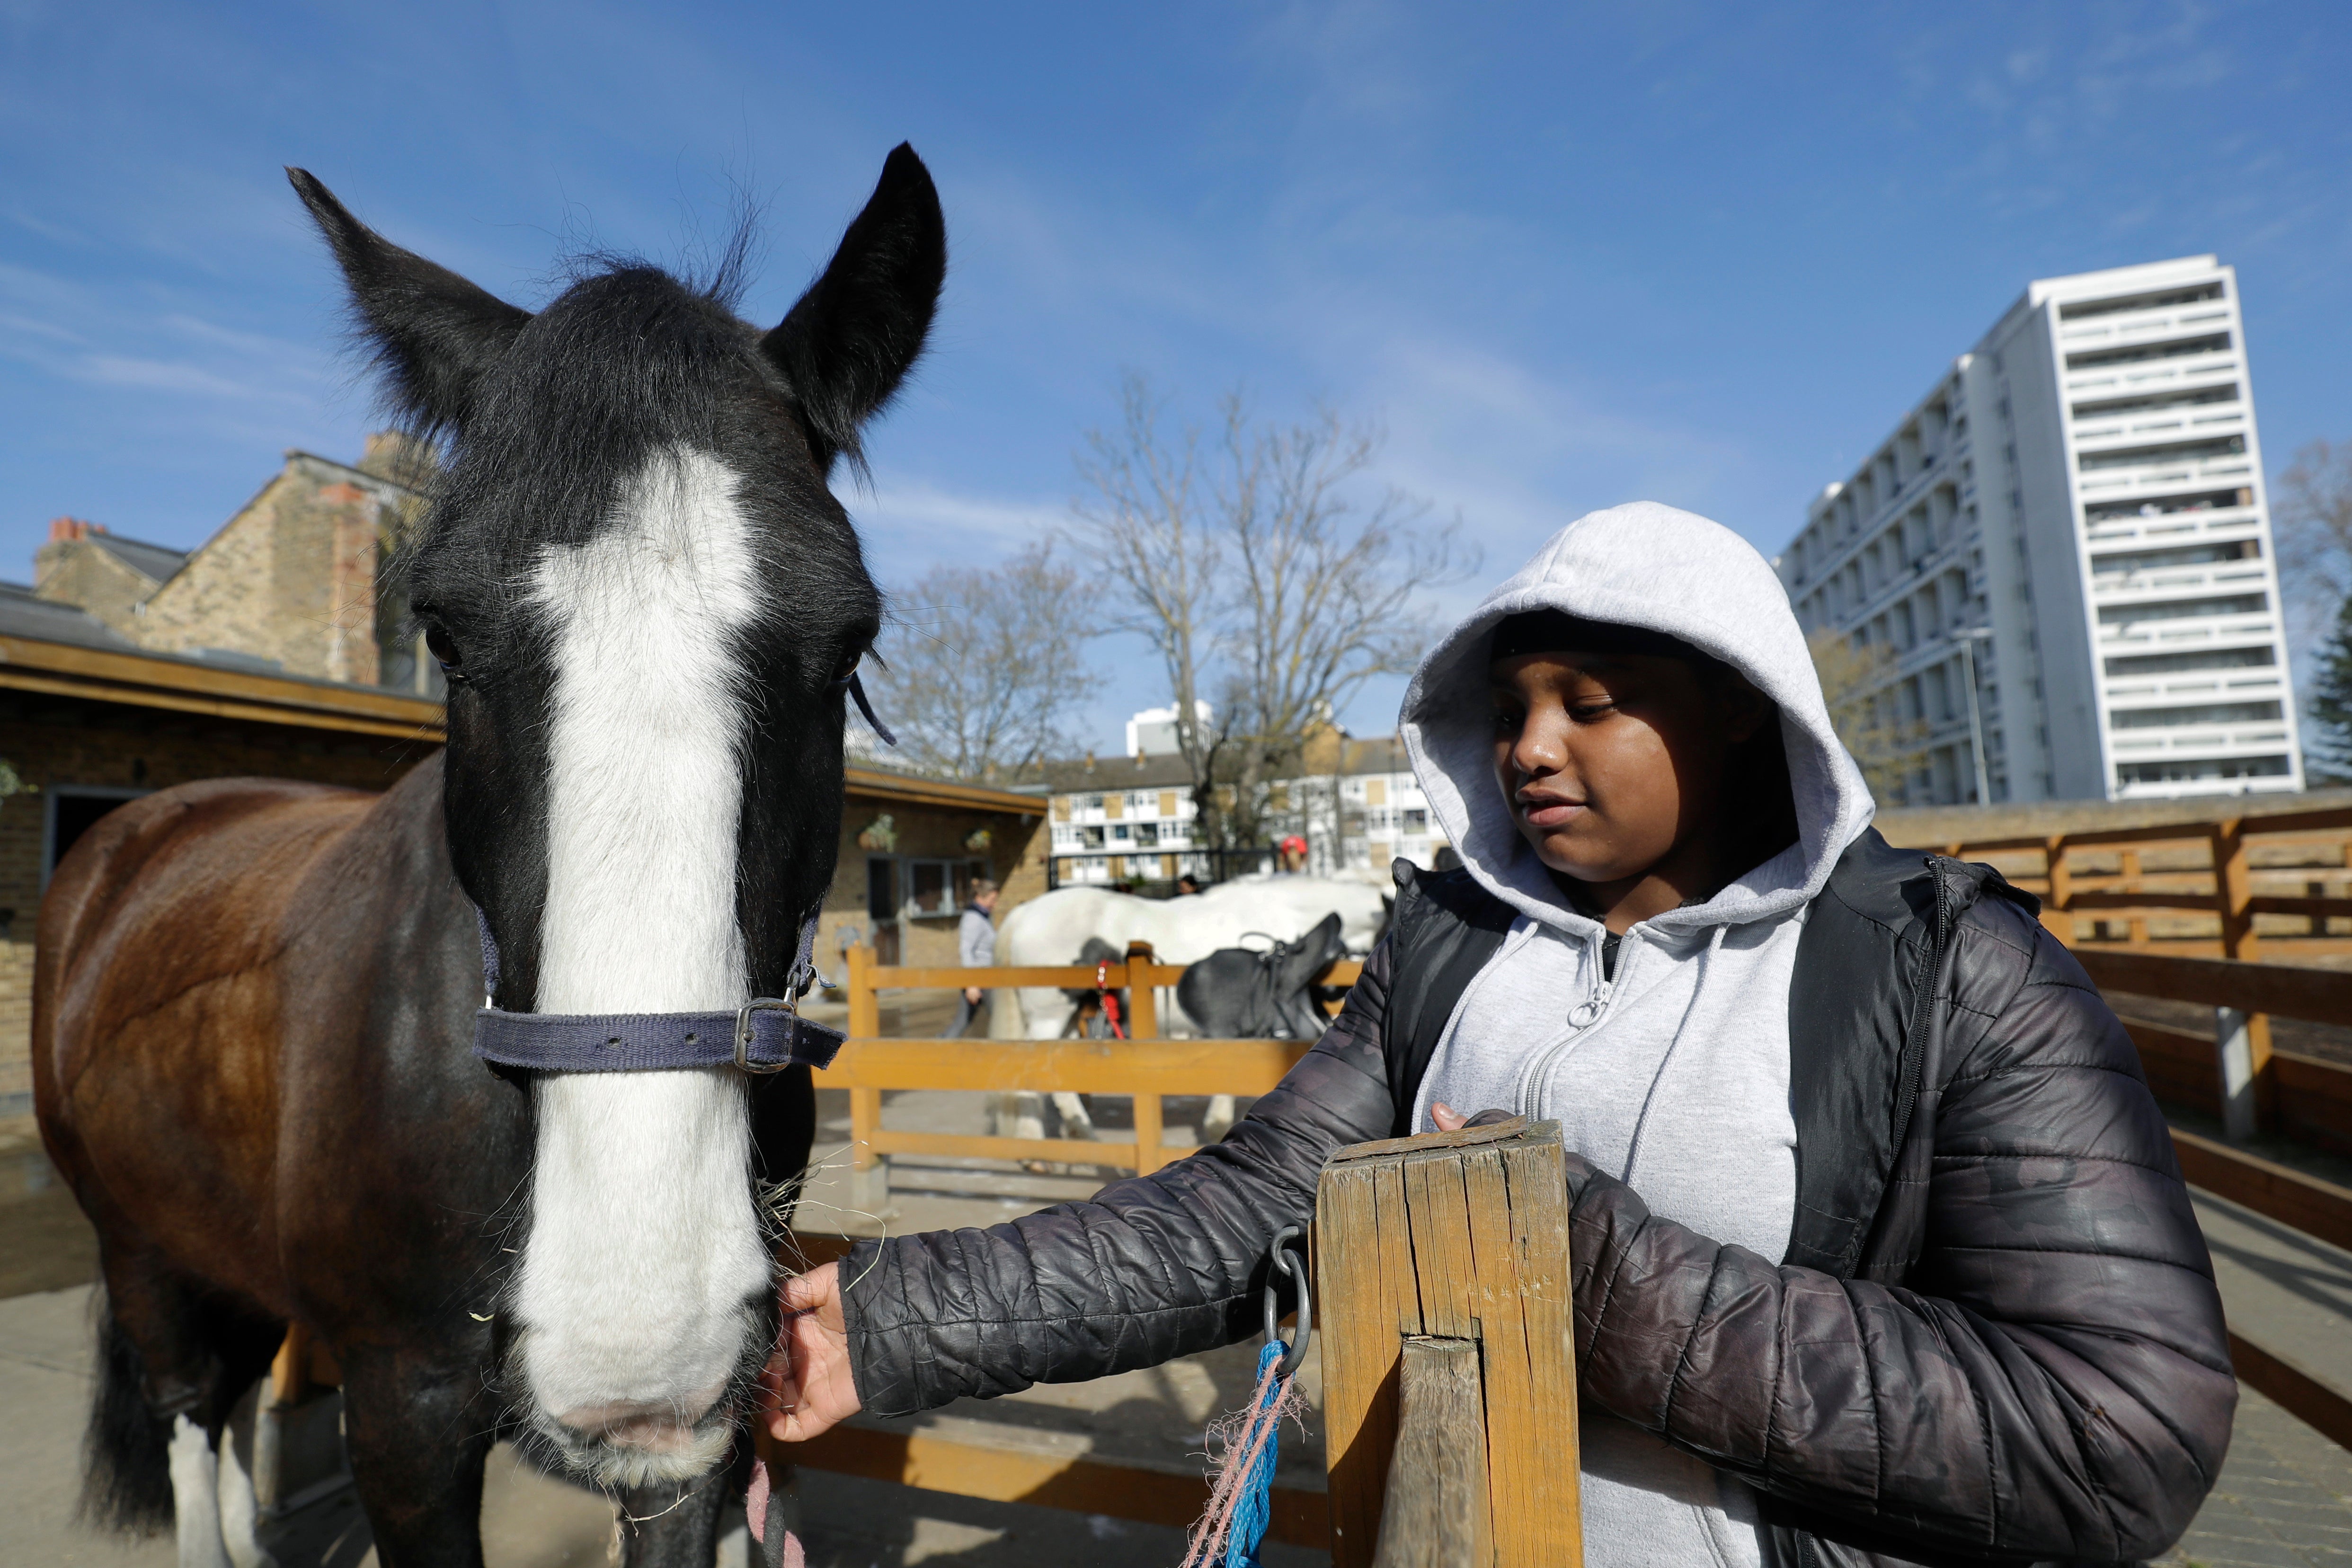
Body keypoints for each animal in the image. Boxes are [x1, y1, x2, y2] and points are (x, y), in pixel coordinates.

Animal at [32, 147, 941, 1568]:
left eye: (850, 637)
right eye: (440, 634)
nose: (634, 1328)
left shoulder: (699, 1448)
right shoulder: (402, 1418)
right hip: (141, 1251)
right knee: (188, 1414)